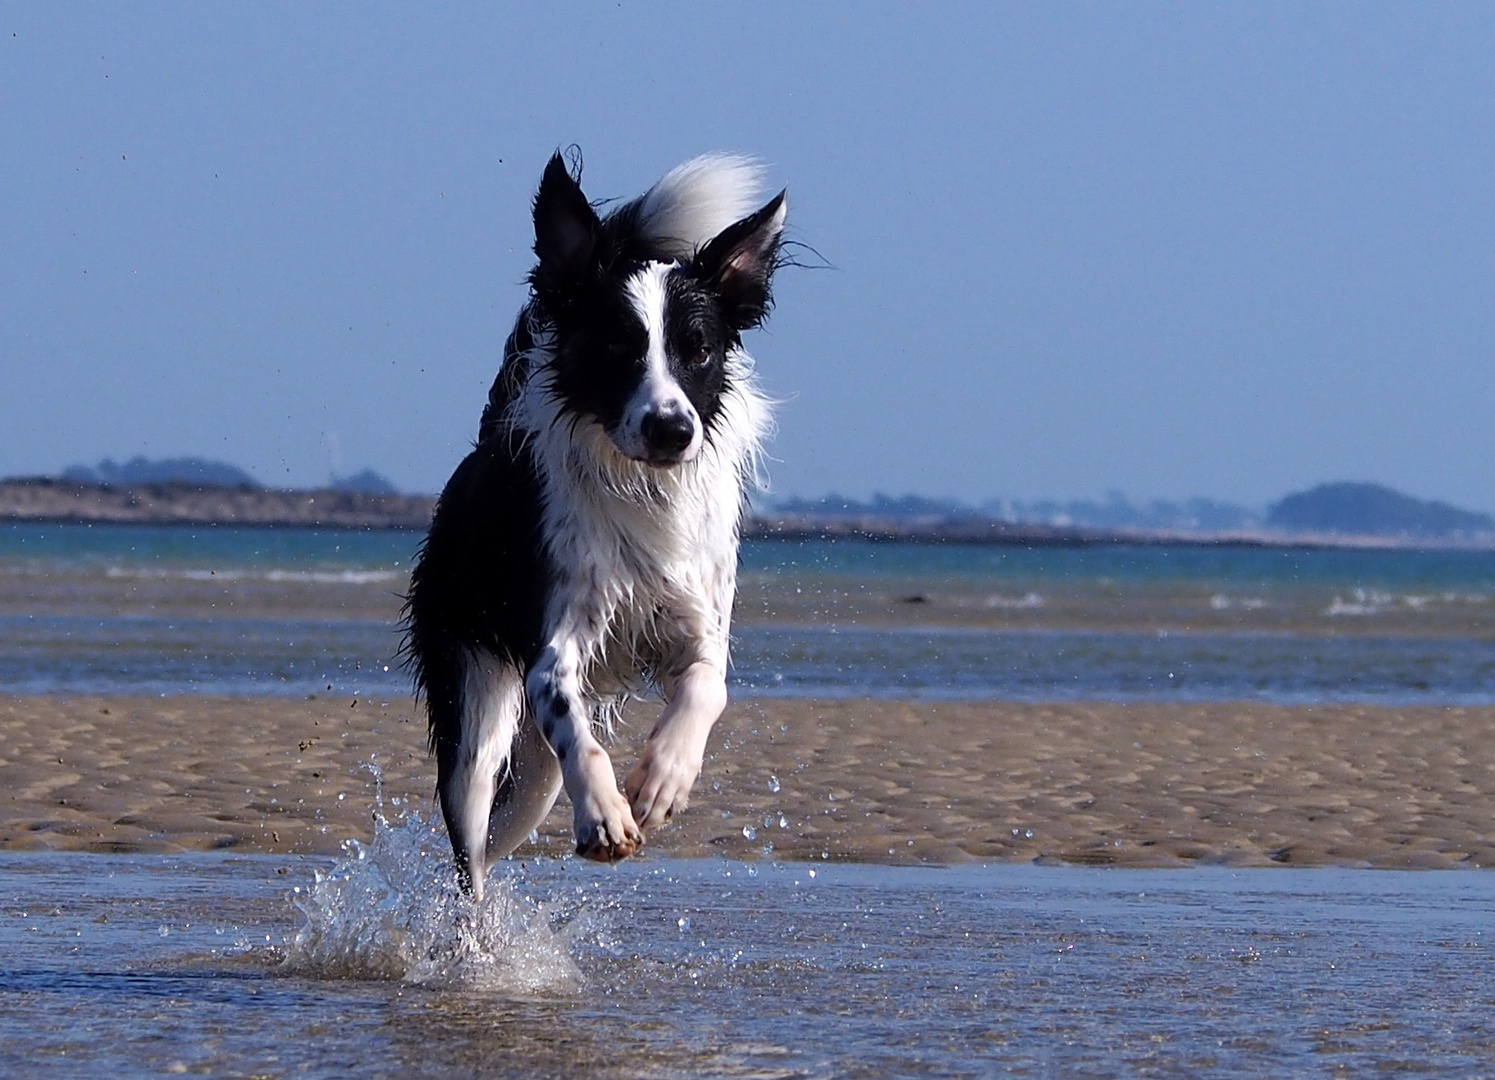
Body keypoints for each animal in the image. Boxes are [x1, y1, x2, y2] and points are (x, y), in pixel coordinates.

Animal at [403, 149, 789, 891]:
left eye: (698, 350)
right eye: (617, 347)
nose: (671, 430)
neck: (642, 488)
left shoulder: (697, 621)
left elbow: (708, 688)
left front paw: (663, 780)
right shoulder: (552, 646)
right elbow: (573, 723)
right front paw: (607, 817)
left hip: (533, 780)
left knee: (504, 827)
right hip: (476, 710)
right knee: (471, 845)